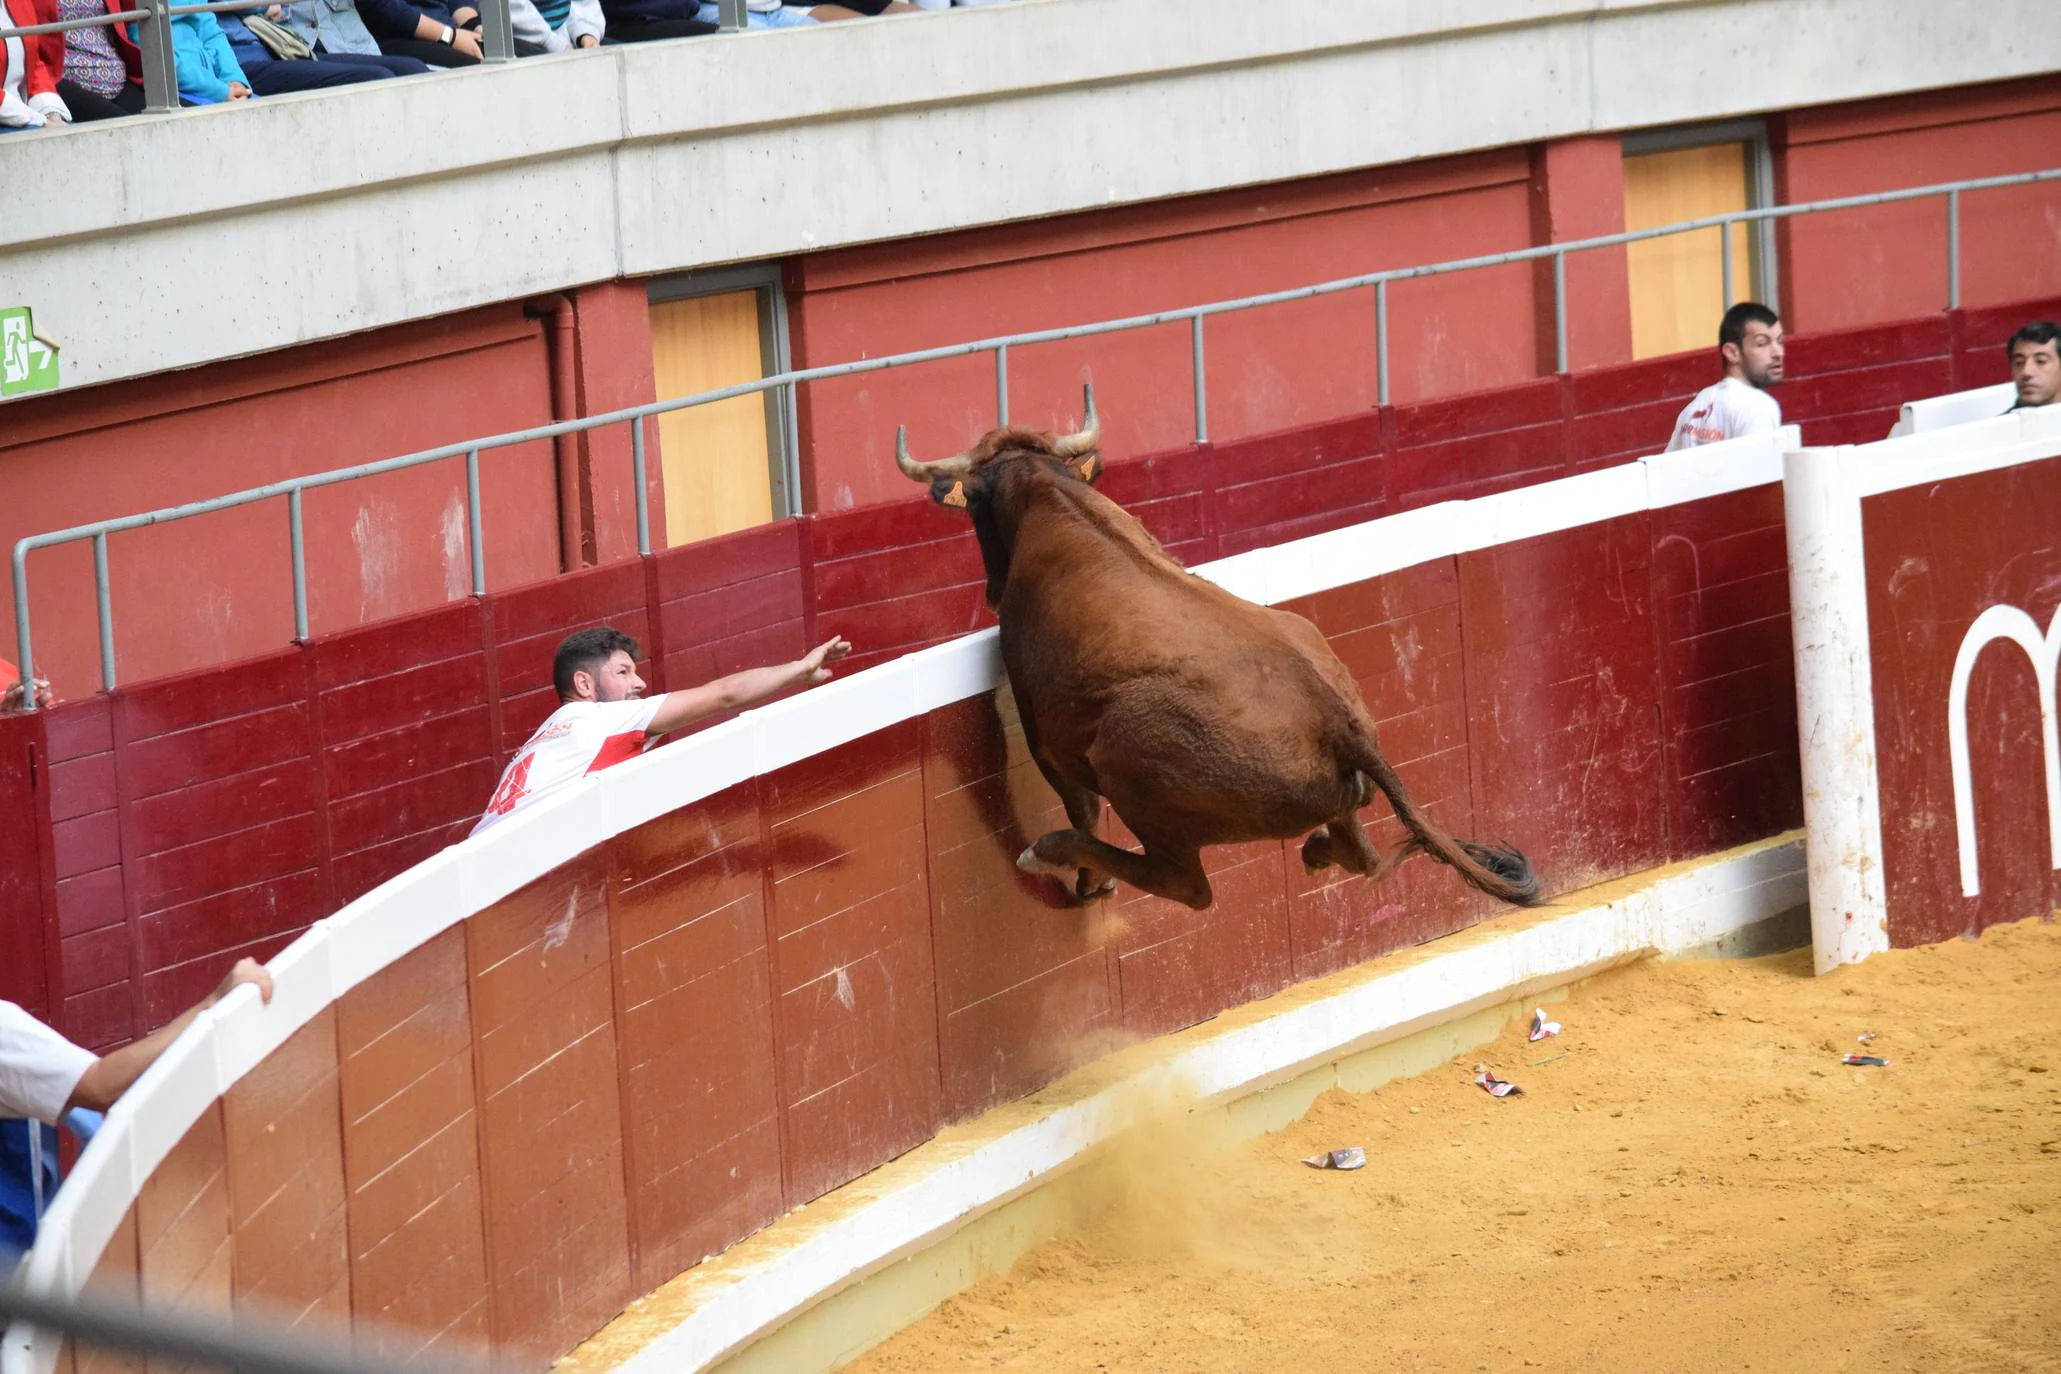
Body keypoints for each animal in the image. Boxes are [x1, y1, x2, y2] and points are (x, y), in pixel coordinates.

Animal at [894, 389, 1541, 914]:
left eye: (977, 515)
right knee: (1363, 854)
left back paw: (1049, 851)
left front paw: (1090, 884)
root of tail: (1338, 726)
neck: (1048, 492)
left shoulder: (1046, 737)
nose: (989, 591)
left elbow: (1080, 802)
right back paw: (1316, 850)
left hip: (1135, 769)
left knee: (1188, 885)